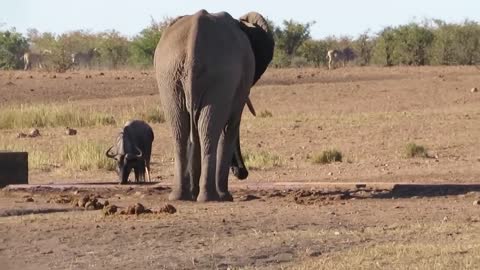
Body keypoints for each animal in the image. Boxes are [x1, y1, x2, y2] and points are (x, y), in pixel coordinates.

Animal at [154, 10, 274, 200]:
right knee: (209, 129)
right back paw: (212, 197)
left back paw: (183, 196)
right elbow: (231, 125)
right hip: (215, 77)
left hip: (169, 76)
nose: (242, 172)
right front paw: (225, 196)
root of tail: (193, 43)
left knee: (181, 129)